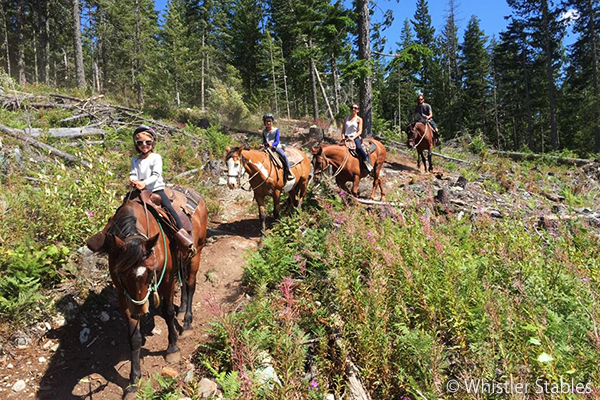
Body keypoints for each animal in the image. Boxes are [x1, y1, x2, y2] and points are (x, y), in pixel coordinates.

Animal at [84, 189, 206, 396]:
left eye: (149, 272)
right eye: (121, 274)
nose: (140, 311)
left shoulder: (165, 280)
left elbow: (167, 312)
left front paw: (172, 348)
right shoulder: (123, 295)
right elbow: (133, 337)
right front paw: (134, 381)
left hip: (195, 254)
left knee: (190, 285)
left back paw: (187, 323)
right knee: (182, 283)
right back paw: (181, 308)